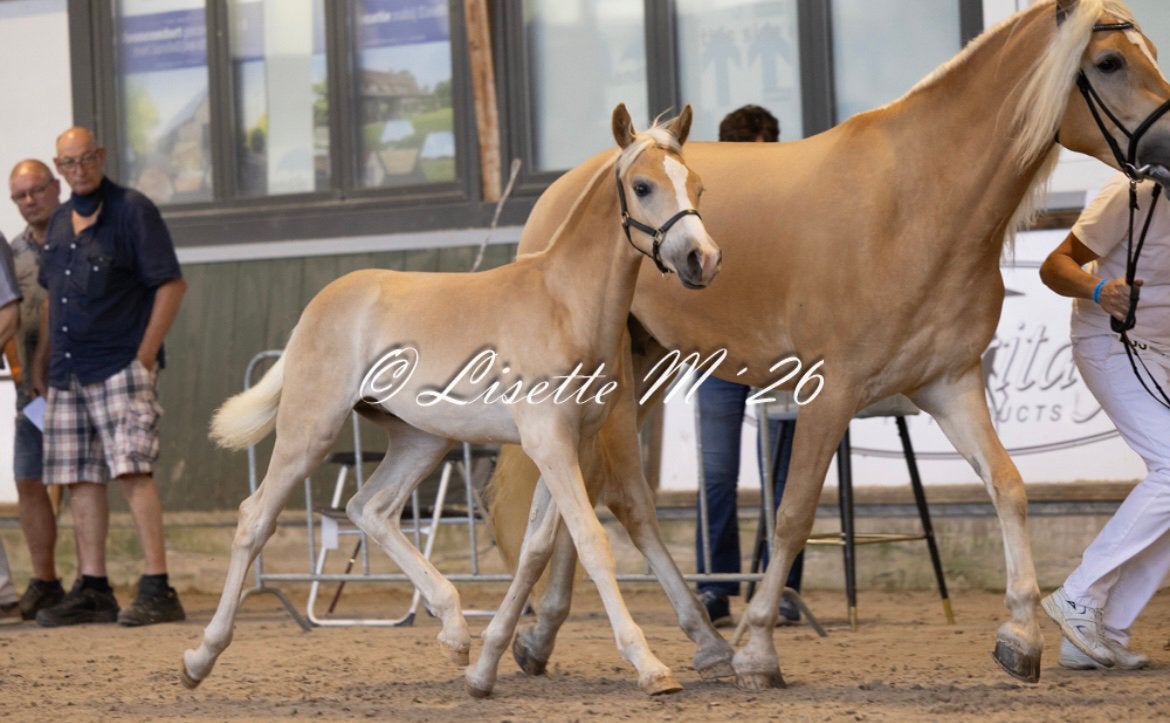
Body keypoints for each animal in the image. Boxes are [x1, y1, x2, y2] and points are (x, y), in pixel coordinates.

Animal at [179, 104, 726, 696]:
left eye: (698, 183)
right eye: (643, 186)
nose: (702, 259)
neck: (563, 306)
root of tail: (318, 306)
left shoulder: (571, 445)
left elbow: (535, 549)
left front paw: (485, 669)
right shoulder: (548, 441)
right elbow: (590, 541)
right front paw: (650, 666)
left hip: (422, 439)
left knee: (370, 509)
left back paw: (454, 629)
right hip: (311, 429)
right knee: (256, 517)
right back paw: (199, 659)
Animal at [485, 0, 1170, 690]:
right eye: (1110, 62)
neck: (915, 202)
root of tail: (564, 189)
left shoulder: (948, 383)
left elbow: (1008, 486)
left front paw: (1020, 637)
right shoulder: (829, 392)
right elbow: (793, 514)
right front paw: (758, 650)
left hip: (637, 365)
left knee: (578, 496)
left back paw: (555, 637)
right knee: (620, 497)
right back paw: (679, 642)